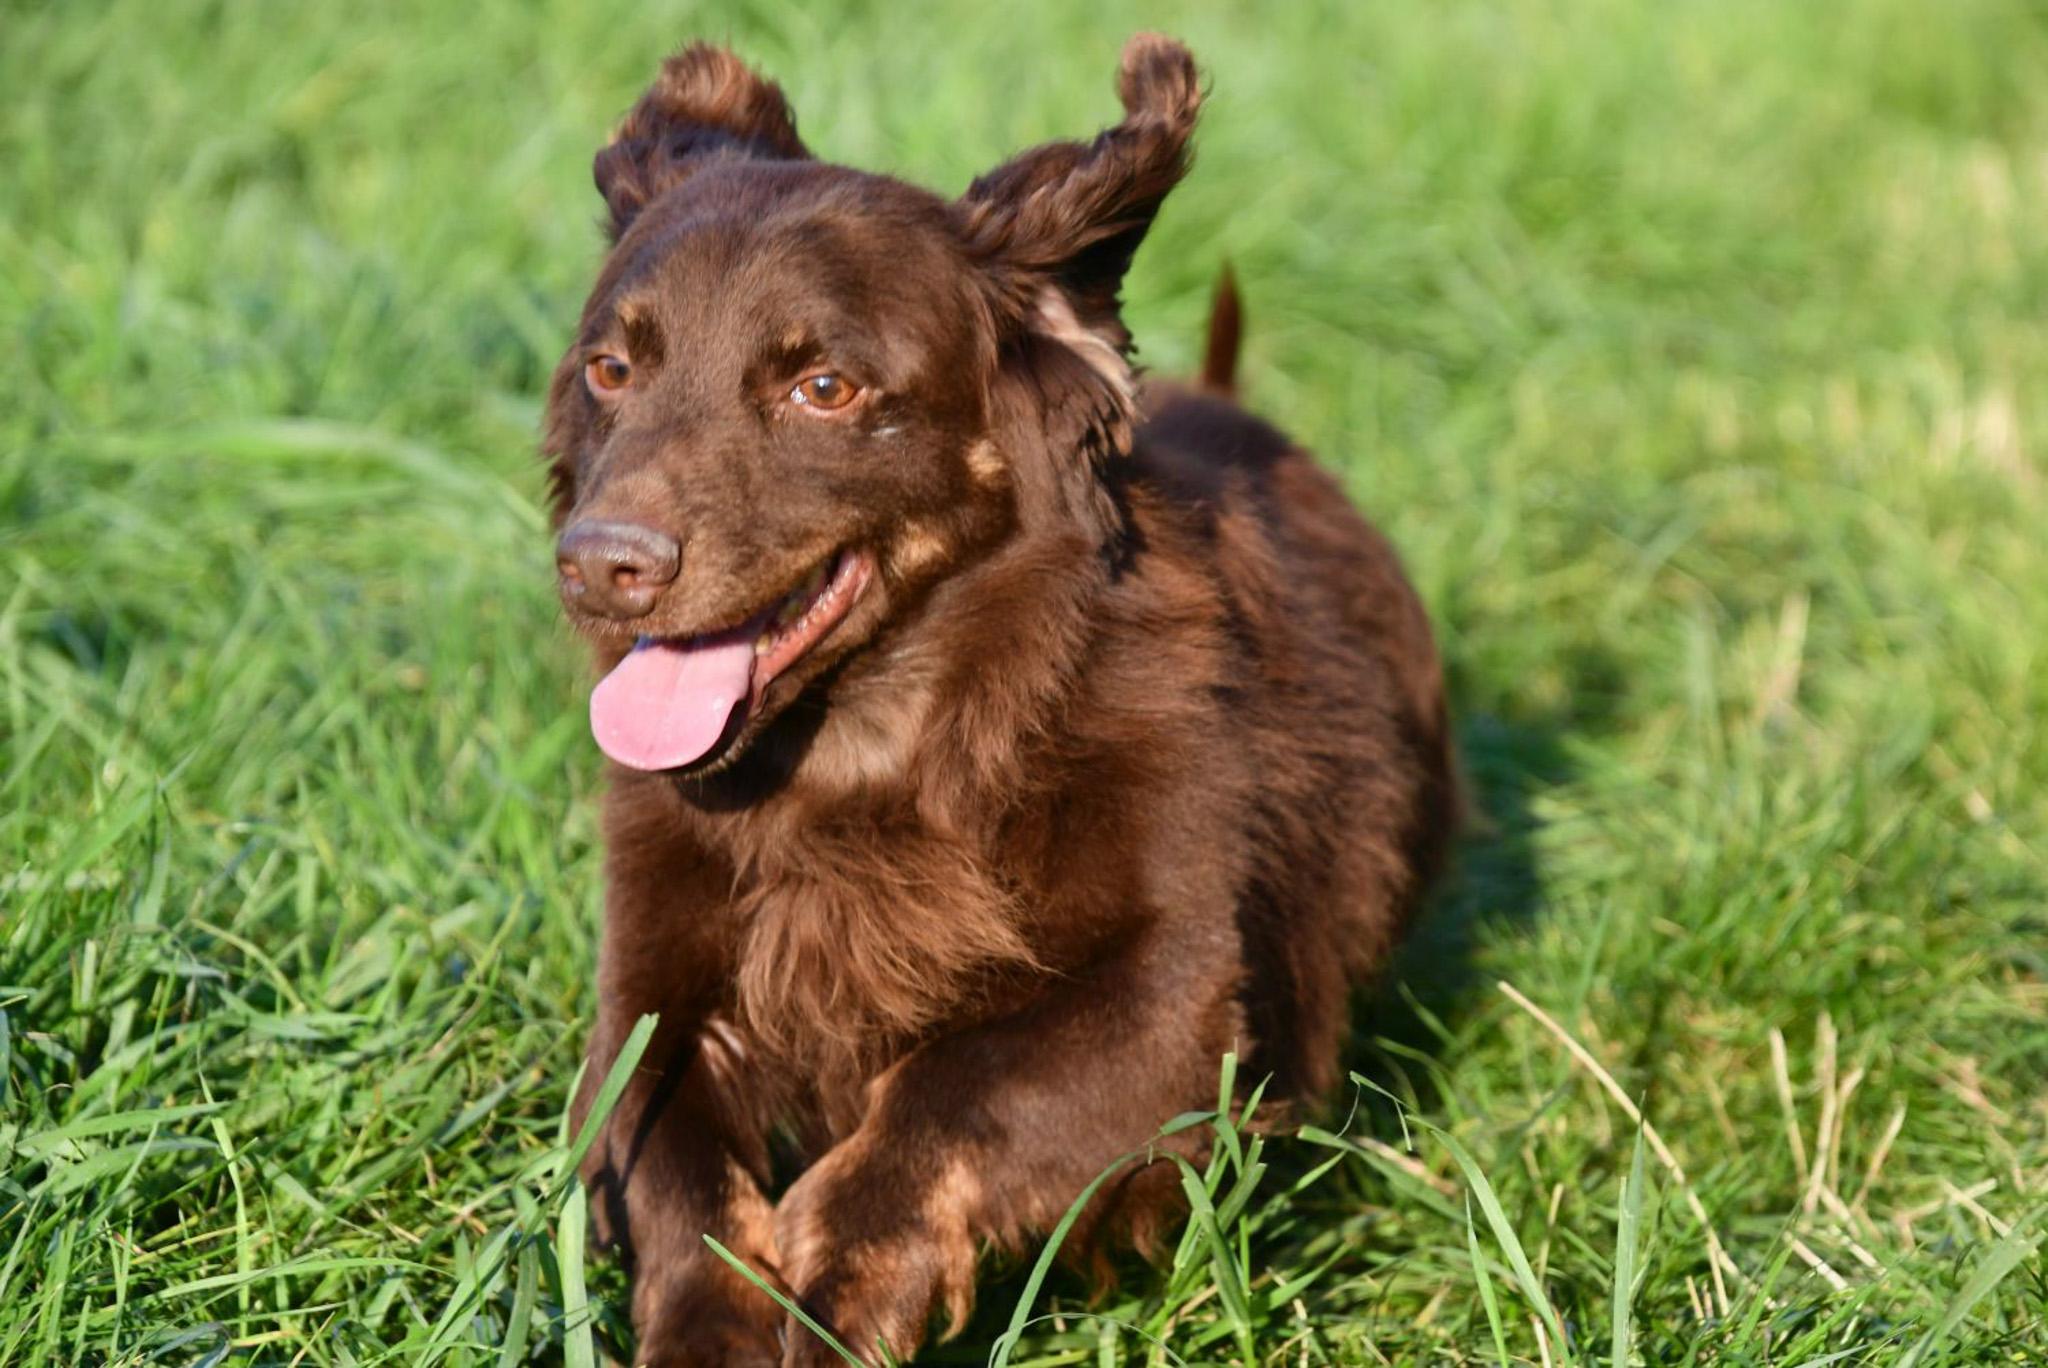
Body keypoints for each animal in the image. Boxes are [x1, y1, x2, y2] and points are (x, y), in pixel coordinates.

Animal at [552, 31, 1458, 1368]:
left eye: (824, 388)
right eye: (611, 369)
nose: (600, 564)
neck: (869, 753)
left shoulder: (1173, 993)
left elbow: (956, 1086)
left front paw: (847, 1282)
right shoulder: (648, 995)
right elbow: (676, 1174)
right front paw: (718, 1324)